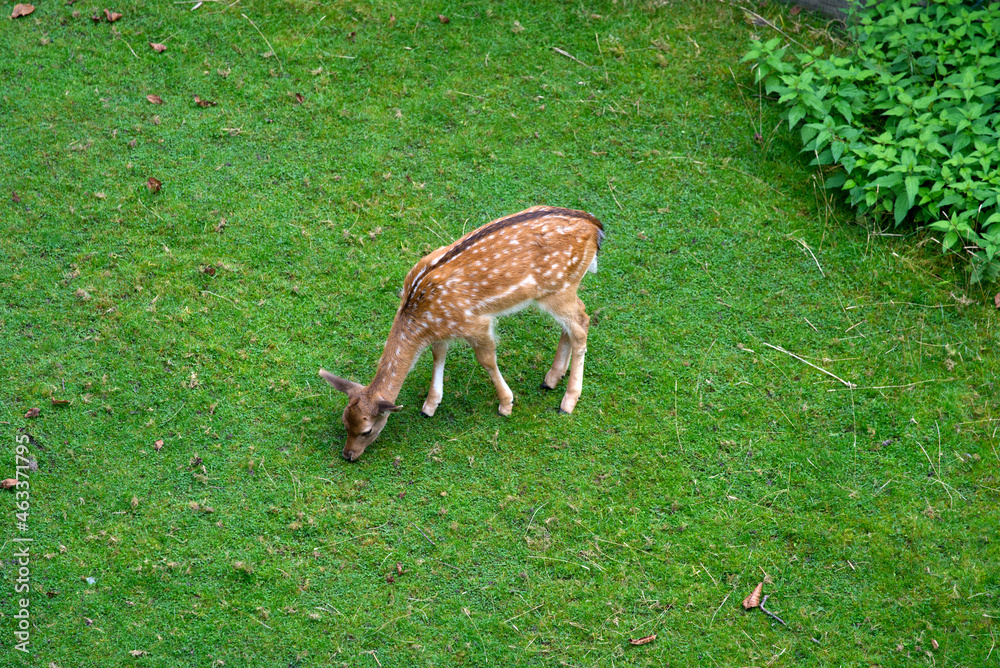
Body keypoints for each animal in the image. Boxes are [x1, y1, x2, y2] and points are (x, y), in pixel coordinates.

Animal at [320, 206, 600, 462]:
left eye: (366, 430)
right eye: (344, 421)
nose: (348, 454)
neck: (422, 318)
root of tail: (596, 227)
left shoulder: (475, 323)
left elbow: (487, 361)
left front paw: (506, 404)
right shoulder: (442, 330)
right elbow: (438, 354)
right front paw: (430, 405)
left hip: (559, 289)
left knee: (581, 324)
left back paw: (568, 401)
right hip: (559, 291)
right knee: (573, 322)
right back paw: (551, 378)